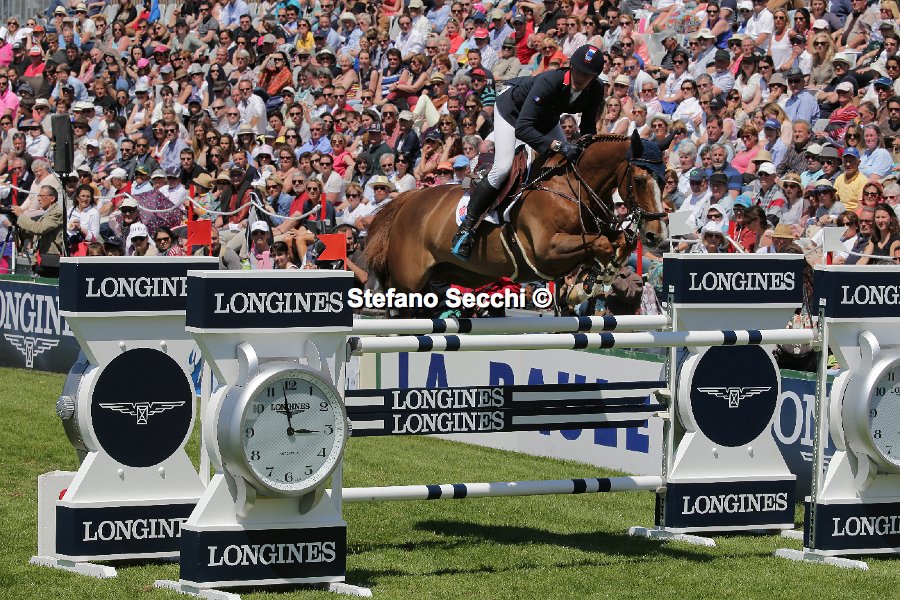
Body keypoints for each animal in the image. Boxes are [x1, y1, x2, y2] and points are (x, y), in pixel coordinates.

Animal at [365, 132, 667, 295]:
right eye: (640, 180)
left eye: (664, 181)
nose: (657, 236)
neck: (570, 186)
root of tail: (407, 200)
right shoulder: (546, 252)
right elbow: (603, 243)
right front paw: (601, 276)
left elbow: (620, 241)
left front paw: (602, 275)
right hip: (407, 283)